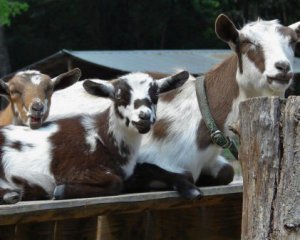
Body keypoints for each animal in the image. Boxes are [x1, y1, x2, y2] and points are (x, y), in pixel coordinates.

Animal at [0, 70, 189, 203]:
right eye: (119, 96)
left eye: (155, 95)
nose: (144, 116)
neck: (102, 137)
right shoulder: (75, 169)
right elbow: (117, 182)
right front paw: (60, 191)